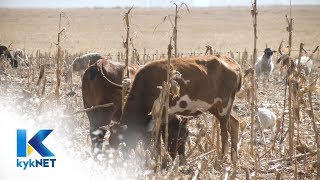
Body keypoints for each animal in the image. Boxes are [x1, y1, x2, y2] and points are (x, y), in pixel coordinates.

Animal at [109, 54, 241, 159]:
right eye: (110, 143)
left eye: (120, 143)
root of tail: (231, 61)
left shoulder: (159, 116)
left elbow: (155, 141)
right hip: (215, 107)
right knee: (235, 123)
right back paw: (234, 160)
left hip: (224, 105)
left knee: (225, 132)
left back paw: (221, 160)